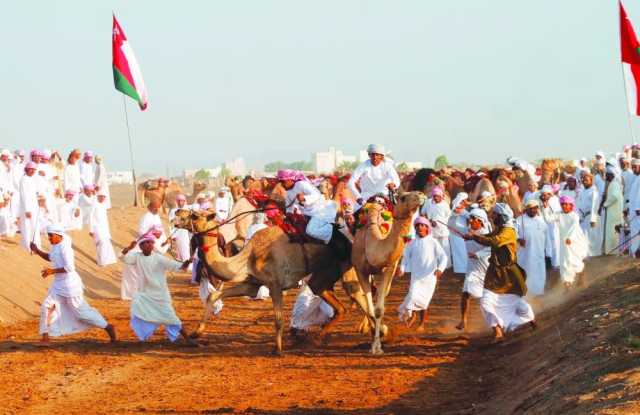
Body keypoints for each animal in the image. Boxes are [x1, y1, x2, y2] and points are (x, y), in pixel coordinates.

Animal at [172, 211, 368, 354]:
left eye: (194, 215)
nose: (177, 212)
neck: (248, 257)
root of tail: (348, 240)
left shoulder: (275, 284)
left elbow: (278, 320)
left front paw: (277, 350)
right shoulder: (251, 284)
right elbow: (213, 295)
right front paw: (196, 332)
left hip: (345, 266)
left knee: (360, 296)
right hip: (324, 275)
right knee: (339, 304)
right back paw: (318, 339)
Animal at [350, 191, 424, 354]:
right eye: (403, 197)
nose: (421, 195)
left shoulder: (388, 269)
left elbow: (378, 310)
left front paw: (378, 345)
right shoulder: (360, 270)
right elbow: (370, 308)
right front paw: (375, 341)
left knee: (380, 293)